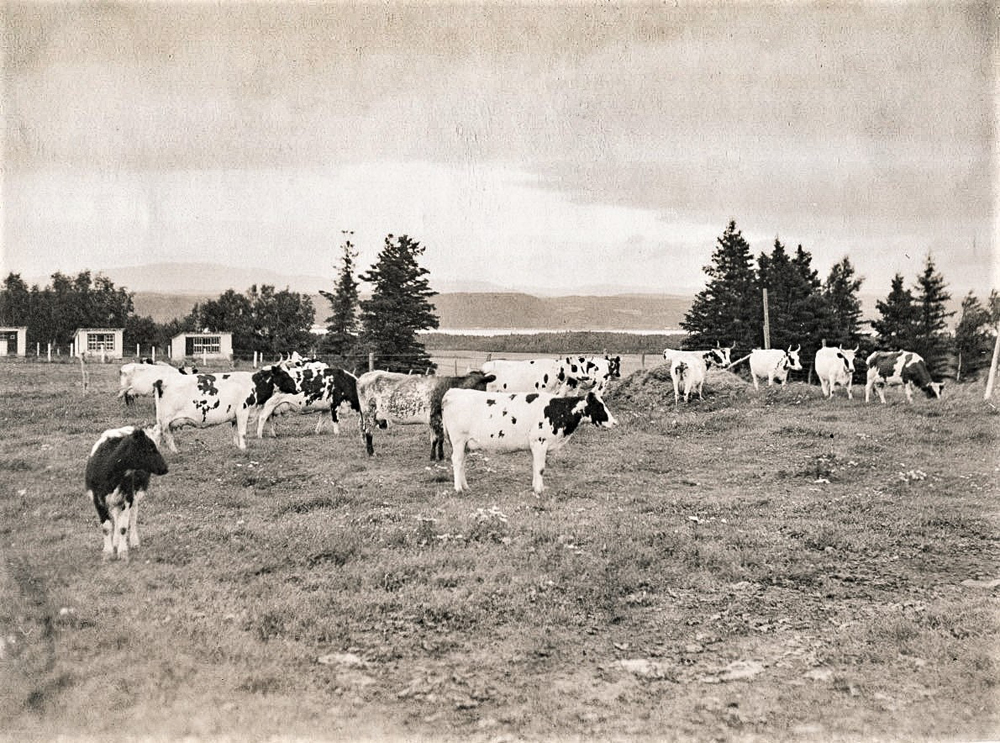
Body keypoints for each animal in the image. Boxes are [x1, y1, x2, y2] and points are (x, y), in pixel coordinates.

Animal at [85, 428, 167, 560]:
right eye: (150, 448)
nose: (165, 468)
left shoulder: (128, 497)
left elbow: (123, 527)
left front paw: (122, 551)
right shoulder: (97, 499)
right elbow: (106, 527)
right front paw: (108, 552)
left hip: (135, 495)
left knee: (132, 518)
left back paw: (133, 542)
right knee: (116, 517)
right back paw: (115, 542)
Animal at [356, 370, 496, 460]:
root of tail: (362, 377)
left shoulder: (440, 421)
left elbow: (440, 439)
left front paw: (441, 456)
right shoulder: (434, 417)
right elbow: (435, 439)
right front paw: (433, 457)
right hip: (369, 412)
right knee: (368, 432)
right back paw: (371, 453)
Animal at [440, 386, 612, 496]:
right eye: (599, 406)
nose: (614, 422)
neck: (557, 410)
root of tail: (453, 391)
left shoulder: (536, 446)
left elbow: (535, 467)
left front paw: (535, 487)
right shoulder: (540, 442)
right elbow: (541, 468)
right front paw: (540, 490)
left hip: (465, 444)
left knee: (462, 462)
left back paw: (466, 486)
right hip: (458, 440)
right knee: (457, 461)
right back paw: (458, 489)